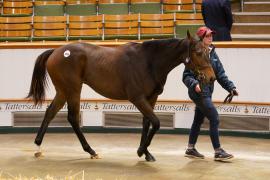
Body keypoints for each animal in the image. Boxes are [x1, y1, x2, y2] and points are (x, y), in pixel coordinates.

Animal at [26, 32, 215, 162]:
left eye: (208, 51)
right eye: (198, 52)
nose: (212, 77)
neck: (148, 61)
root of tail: (57, 51)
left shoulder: (151, 98)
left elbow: (147, 123)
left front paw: (146, 153)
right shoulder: (137, 99)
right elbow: (156, 122)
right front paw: (141, 151)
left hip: (63, 91)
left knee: (51, 112)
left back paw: (38, 145)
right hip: (73, 90)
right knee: (72, 117)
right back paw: (90, 150)